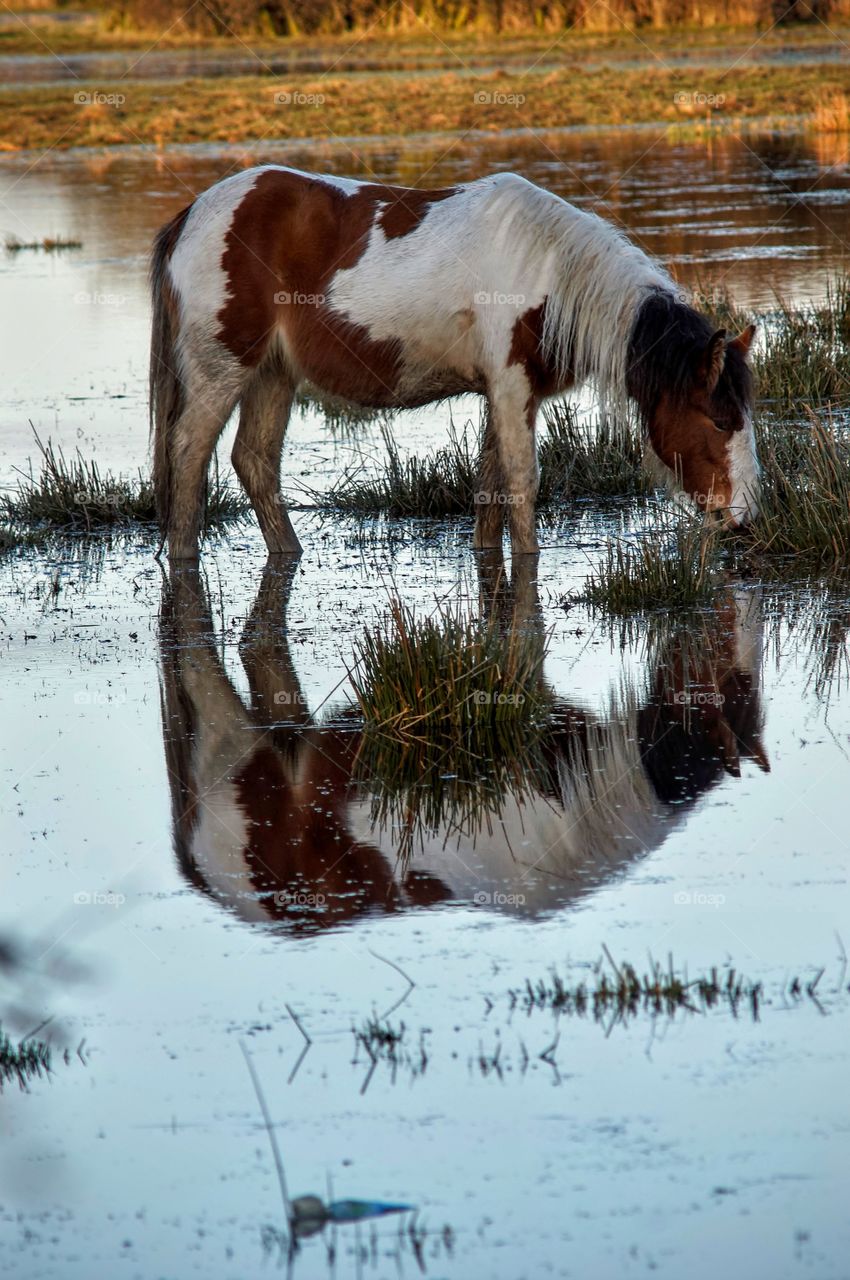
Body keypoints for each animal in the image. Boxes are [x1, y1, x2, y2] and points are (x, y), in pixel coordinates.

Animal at [147, 162, 757, 558]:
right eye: (719, 420)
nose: (747, 520)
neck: (549, 272)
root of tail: (192, 215)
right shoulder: (512, 387)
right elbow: (522, 482)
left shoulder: (503, 392)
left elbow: (490, 485)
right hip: (223, 369)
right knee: (188, 454)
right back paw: (182, 558)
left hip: (274, 373)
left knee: (254, 461)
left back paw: (288, 555)